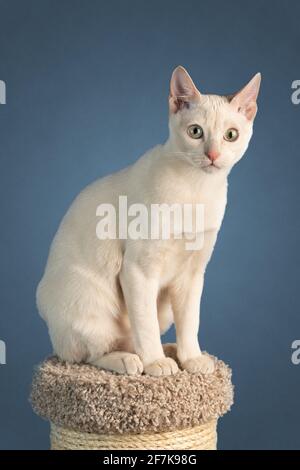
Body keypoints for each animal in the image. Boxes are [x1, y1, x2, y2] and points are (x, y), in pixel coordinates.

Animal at [37, 66, 260, 376]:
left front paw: (191, 359)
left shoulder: (192, 274)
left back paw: (171, 351)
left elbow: (190, 323)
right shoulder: (139, 270)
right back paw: (134, 361)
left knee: (133, 337)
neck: (198, 188)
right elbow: (146, 325)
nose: (212, 155)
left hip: (163, 306)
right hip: (90, 300)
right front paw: (156, 363)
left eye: (231, 135)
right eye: (195, 132)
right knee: (89, 354)